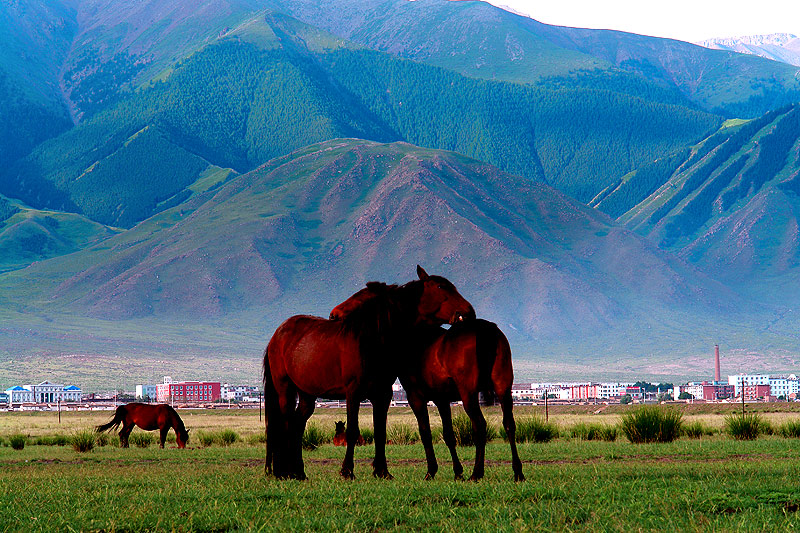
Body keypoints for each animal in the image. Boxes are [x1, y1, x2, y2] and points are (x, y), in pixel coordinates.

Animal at [262, 264, 476, 478]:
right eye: (440, 287)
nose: (469, 311)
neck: (371, 341)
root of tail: (277, 334)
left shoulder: (382, 393)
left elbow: (380, 431)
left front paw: (382, 471)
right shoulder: (353, 392)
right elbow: (352, 431)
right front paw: (347, 471)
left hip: (307, 394)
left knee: (297, 425)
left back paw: (299, 473)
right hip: (285, 389)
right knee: (285, 424)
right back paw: (283, 472)